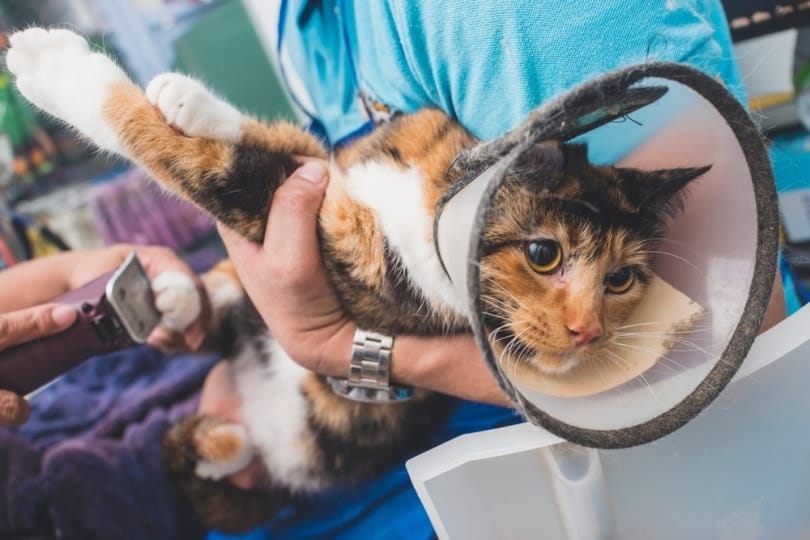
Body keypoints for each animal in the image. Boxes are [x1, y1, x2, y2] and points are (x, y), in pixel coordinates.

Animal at [6, 28, 708, 532]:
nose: (586, 333)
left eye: (621, 279)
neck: (437, 189)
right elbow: (291, 147)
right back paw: (176, 300)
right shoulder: (358, 160)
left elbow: (206, 164)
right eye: (543, 253)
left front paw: (48, 65)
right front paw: (189, 100)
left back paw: (220, 440)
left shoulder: (332, 245)